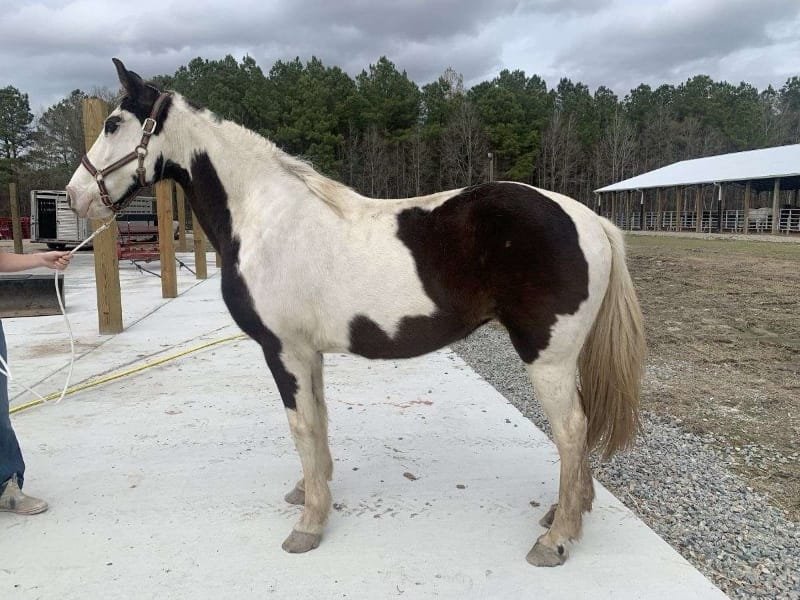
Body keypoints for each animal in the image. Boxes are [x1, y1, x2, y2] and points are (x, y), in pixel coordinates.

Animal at [65, 59, 648, 568]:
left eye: (114, 124)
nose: (75, 197)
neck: (265, 217)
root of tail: (588, 218)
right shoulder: (308, 353)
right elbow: (319, 421)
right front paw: (310, 492)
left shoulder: (284, 350)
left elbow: (301, 425)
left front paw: (307, 527)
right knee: (579, 432)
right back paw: (565, 513)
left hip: (547, 357)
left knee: (571, 430)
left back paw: (556, 539)